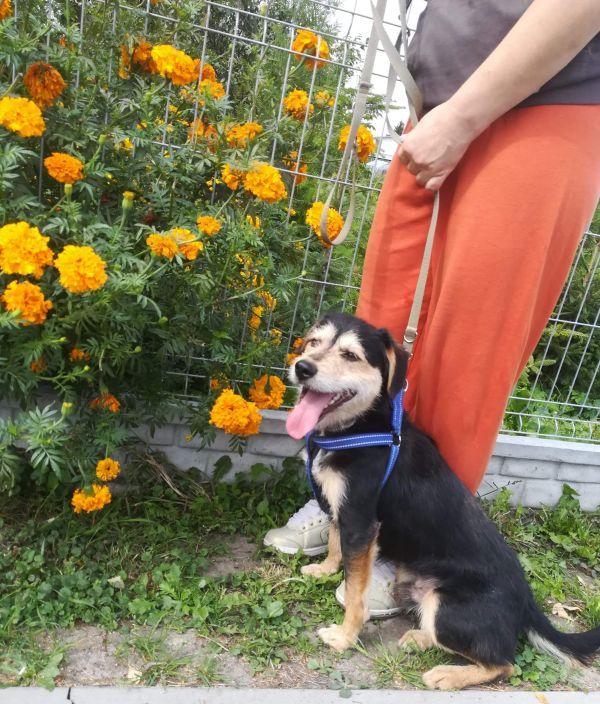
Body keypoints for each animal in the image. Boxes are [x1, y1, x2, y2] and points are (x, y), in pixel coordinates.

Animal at [286, 312, 600, 690]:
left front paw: (345, 637)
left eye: (350, 355)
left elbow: (354, 593)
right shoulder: (342, 512)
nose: (302, 367)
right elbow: (335, 543)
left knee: (504, 664)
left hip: (447, 606)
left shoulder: (360, 521)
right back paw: (419, 639)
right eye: (313, 342)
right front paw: (325, 568)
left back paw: (448, 674)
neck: (359, 427)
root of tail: (527, 603)